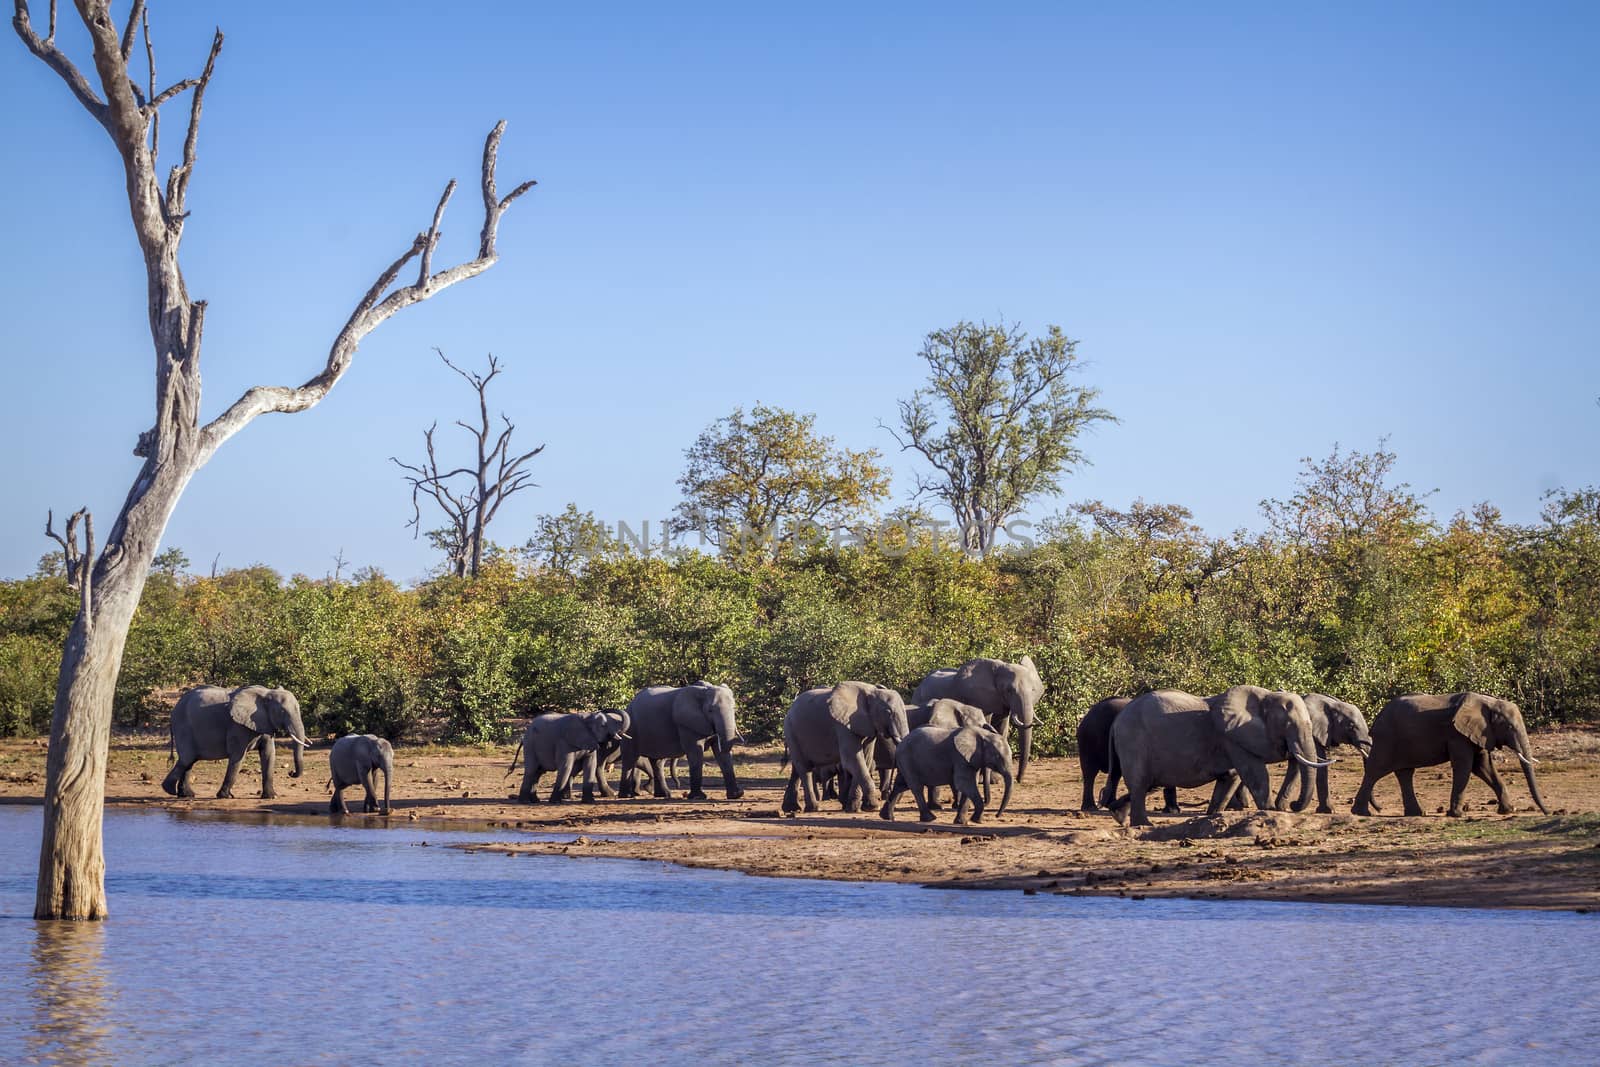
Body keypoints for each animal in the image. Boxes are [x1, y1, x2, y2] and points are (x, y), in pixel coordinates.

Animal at [160, 684, 313, 799]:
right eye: (282, 712)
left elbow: (269, 755)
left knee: (189, 760)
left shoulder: (264, 722)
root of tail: (174, 709)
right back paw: (170, 790)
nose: (291, 773)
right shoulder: (238, 725)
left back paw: (186, 795)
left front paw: (271, 797)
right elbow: (238, 756)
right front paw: (226, 796)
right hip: (183, 726)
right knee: (187, 758)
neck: (267, 693)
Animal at [780, 684, 908, 819]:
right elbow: (853, 760)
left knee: (796, 770)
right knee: (805, 769)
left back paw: (792, 808)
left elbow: (865, 760)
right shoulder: (843, 725)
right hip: (791, 731)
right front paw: (873, 807)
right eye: (888, 712)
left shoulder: (868, 726)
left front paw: (854, 808)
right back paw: (813, 808)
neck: (872, 691)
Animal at [876, 726, 1011, 825]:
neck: (983, 734)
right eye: (997, 757)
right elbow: (964, 783)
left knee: (900, 785)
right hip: (907, 759)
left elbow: (969, 785)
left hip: (904, 761)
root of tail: (899, 744)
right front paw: (976, 821)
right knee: (916, 787)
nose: (997, 815)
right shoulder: (959, 757)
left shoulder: (971, 759)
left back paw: (886, 817)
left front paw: (962, 822)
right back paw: (930, 819)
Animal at [1107, 687, 1331, 831]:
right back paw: (1143, 825)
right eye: (1288, 724)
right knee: (1140, 783)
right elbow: (1255, 774)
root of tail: (1116, 721)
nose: (1292, 805)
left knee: (1146, 785)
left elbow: (1230, 777)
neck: (1265, 696)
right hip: (1133, 742)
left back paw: (1118, 815)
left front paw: (1212, 816)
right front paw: (1270, 812)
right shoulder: (1233, 737)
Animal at [1356, 694, 1542, 819]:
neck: (1489, 702)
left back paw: (1417, 813)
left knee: (1405, 773)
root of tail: (1378, 717)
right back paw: (1362, 813)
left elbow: (1483, 767)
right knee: (1375, 771)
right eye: (1509, 727)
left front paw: (1508, 810)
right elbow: (1465, 766)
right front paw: (1457, 814)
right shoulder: (1457, 735)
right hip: (1387, 739)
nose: (1546, 812)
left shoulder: (1478, 734)